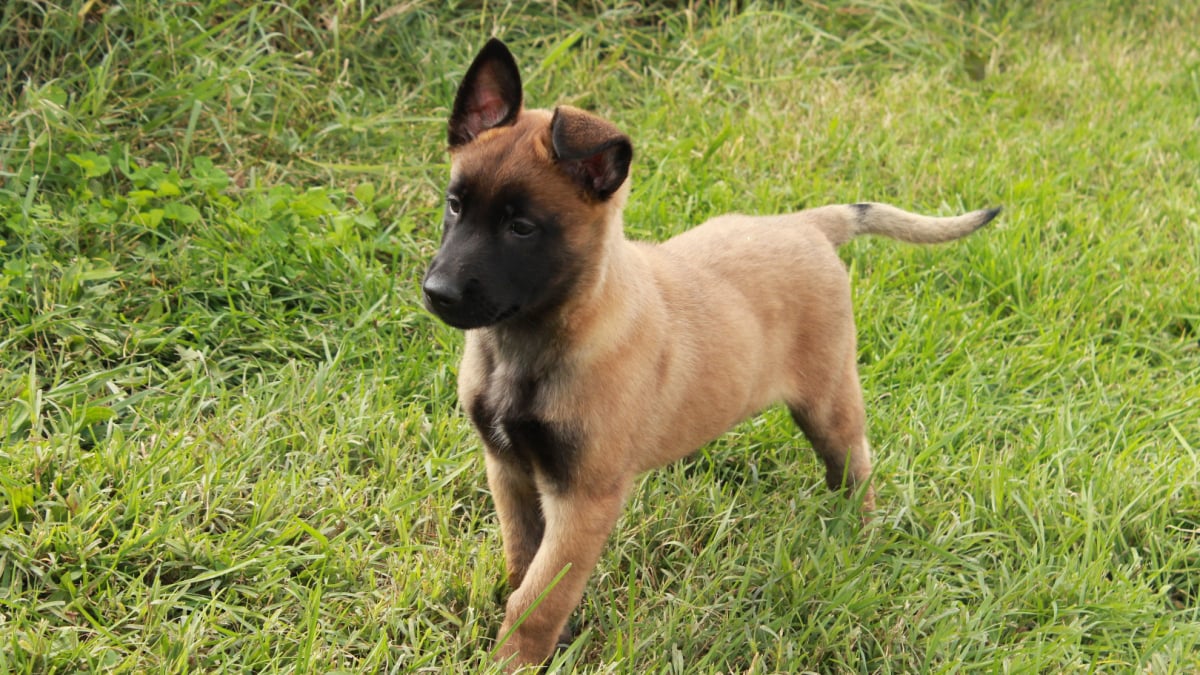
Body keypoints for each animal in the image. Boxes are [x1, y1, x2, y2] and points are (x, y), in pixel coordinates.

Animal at [422, 39, 1003, 667]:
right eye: (455, 206)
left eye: (522, 228)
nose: (437, 292)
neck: (531, 342)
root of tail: (804, 224)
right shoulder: (508, 470)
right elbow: (524, 566)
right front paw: (556, 636)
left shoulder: (584, 498)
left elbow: (537, 600)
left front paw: (515, 661)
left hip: (828, 401)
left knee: (854, 468)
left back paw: (857, 538)